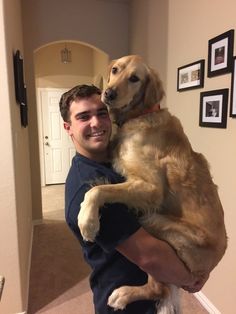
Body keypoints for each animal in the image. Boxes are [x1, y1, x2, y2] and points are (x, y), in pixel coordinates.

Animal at [78, 55, 228, 312]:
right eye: (115, 70)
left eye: (135, 78)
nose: (109, 93)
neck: (138, 116)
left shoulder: (152, 189)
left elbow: (98, 190)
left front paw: (87, 221)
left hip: (154, 222)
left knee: (159, 288)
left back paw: (124, 295)